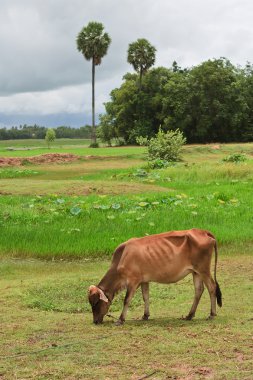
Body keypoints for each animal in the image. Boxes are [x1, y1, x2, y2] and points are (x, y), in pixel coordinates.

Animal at [88, 229, 222, 324]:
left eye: (95, 303)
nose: (95, 321)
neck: (123, 256)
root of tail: (203, 231)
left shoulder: (133, 281)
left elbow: (127, 300)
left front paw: (121, 319)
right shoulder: (144, 281)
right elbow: (146, 297)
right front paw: (145, 315)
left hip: (204, 270)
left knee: (212, 287)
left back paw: (212, 314)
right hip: (196, 272)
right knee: (199, 290)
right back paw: (189, 315)